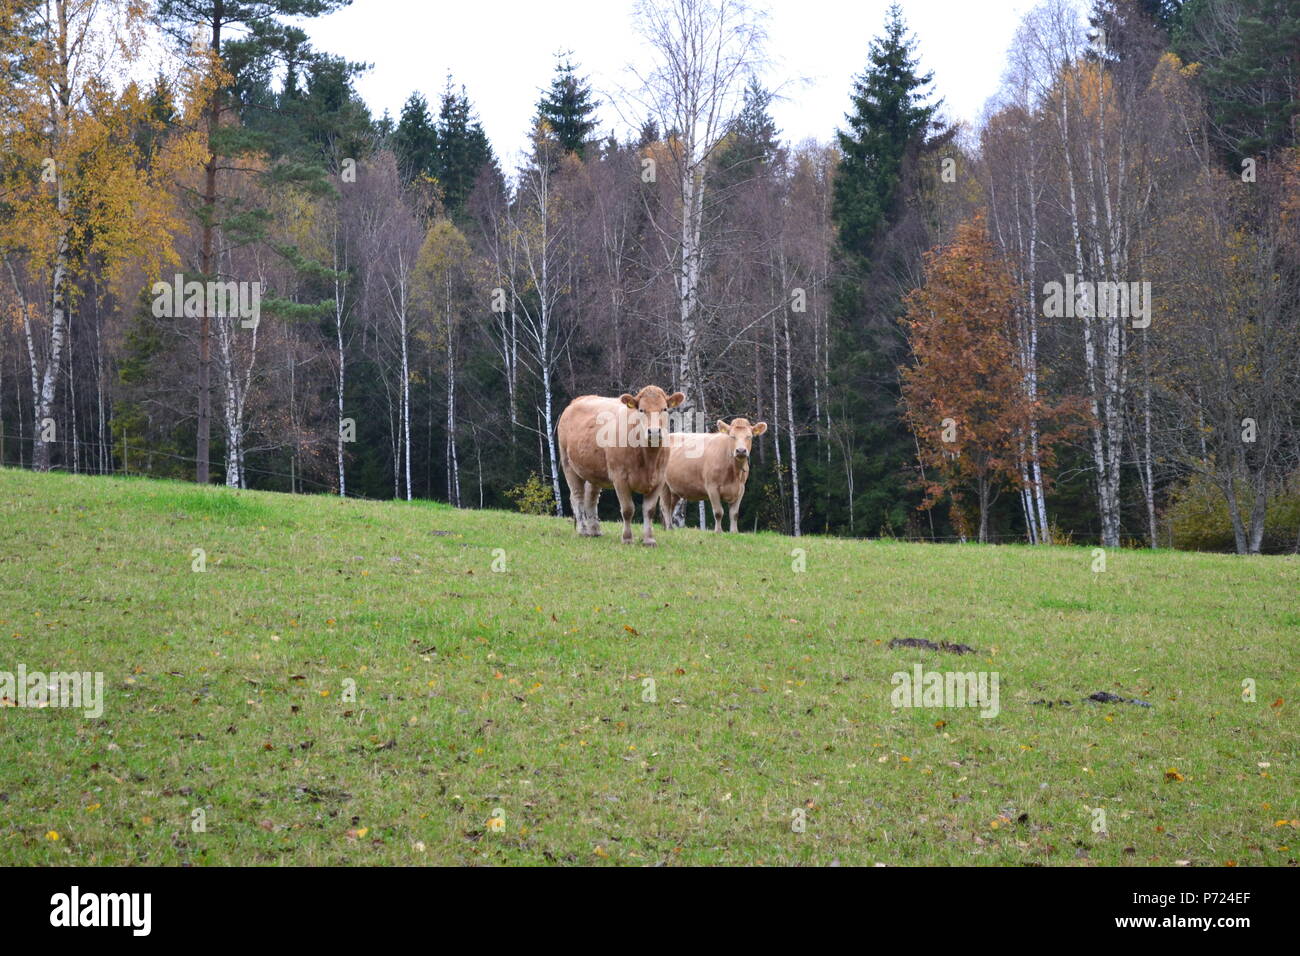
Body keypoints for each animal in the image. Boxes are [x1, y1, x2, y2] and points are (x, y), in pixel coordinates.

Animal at [553, 382, 686, 546]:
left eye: (665, 409)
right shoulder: (619, 478)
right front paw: (627, 538)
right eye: (641, 410)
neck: (648, 458)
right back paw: (583, 530)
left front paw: (649, 539)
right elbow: (628, 510)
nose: (654, 432)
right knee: (577, 497)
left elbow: (649, 511)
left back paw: (594, 530)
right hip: (568, 464)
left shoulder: (659, 479)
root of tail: (577, 400)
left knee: (591, 498)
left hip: (594, 471)